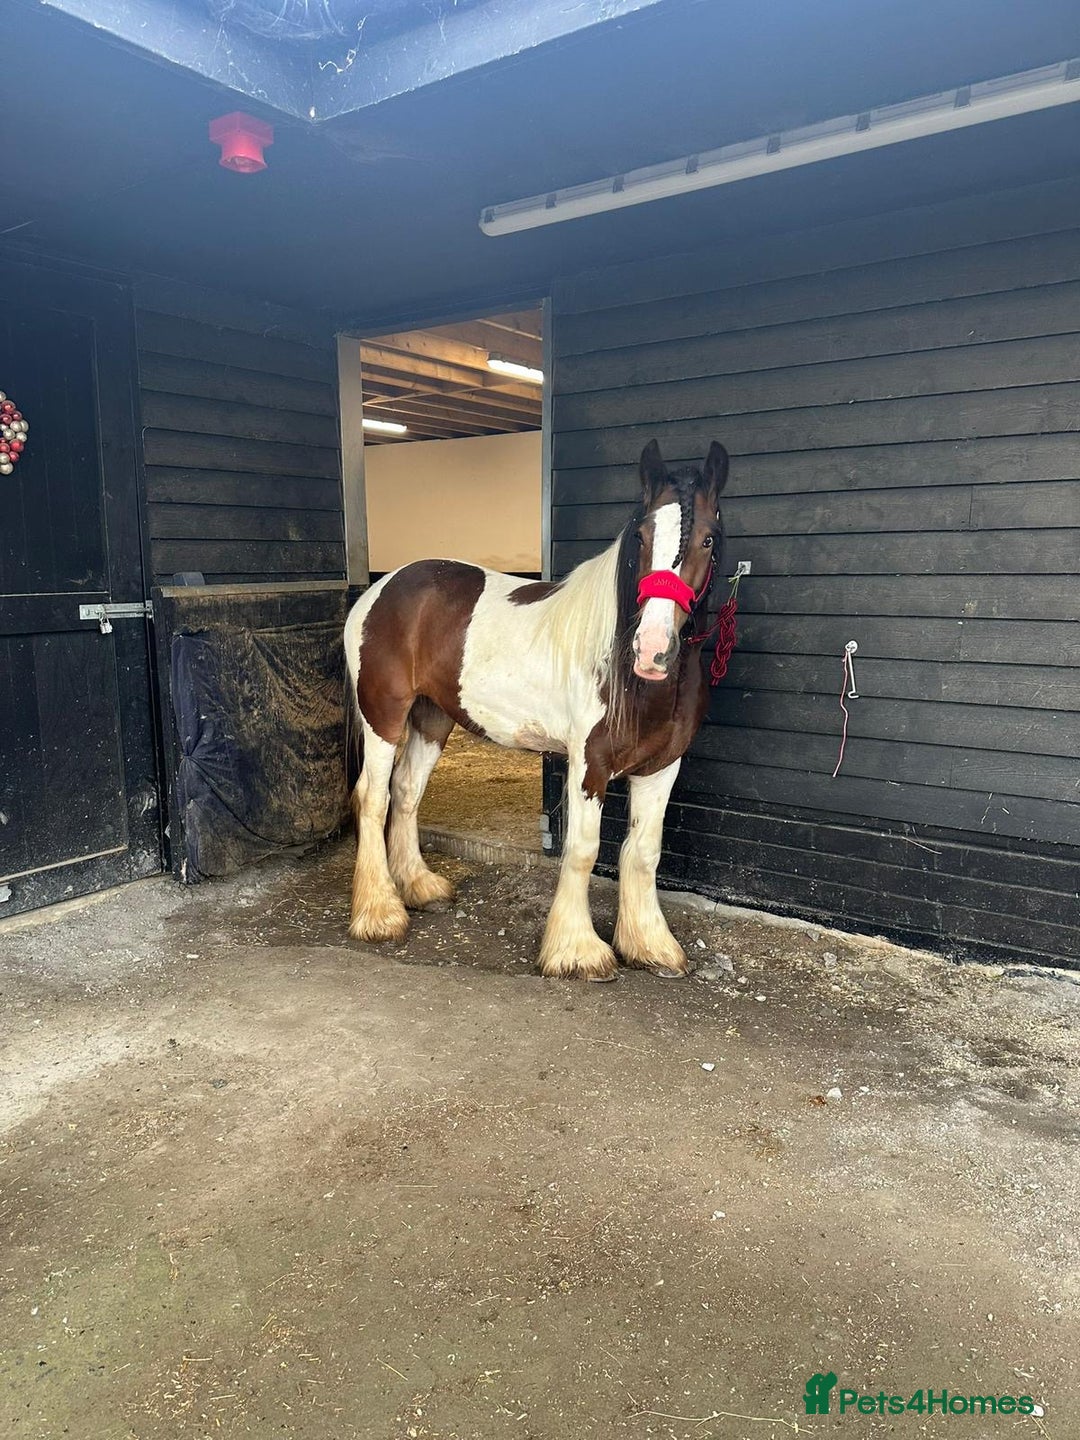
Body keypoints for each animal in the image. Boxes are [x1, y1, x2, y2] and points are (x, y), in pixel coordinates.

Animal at [343, 438, 730, 980]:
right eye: (641, 535)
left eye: (709, 539)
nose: (651, 650)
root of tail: (381, 589)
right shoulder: (590, 765)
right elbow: (583, 851)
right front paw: (578, 952)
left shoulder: (661, 767)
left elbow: (643, 852)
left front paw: (650, 945)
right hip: (383, 717)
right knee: (373, 798)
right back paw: (380, 913)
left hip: (432, 720)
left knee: (406, 792)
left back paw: (420, 887)